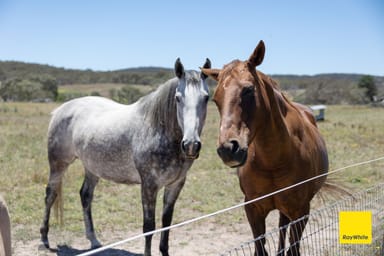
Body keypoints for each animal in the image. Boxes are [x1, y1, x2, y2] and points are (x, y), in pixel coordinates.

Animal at [40, 58, 212, 256]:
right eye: (178, 98)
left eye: (206, 98)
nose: (191, 145)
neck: (158, 129)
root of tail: (61, 109)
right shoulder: (149, 185)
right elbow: (149, 227)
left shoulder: (175, 184)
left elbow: (166, 223)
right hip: (58, 164)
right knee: (50, 195)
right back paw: (44, 238)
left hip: (92, 167)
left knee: (85, 196)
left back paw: (94, 240)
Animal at [201, 41, 328, 255]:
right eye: (216, 99)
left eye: (248, 90)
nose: (227, 149)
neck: (273, 161)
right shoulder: (253, 209)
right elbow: (260, 248)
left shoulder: (301, 211)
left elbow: (293, 249)